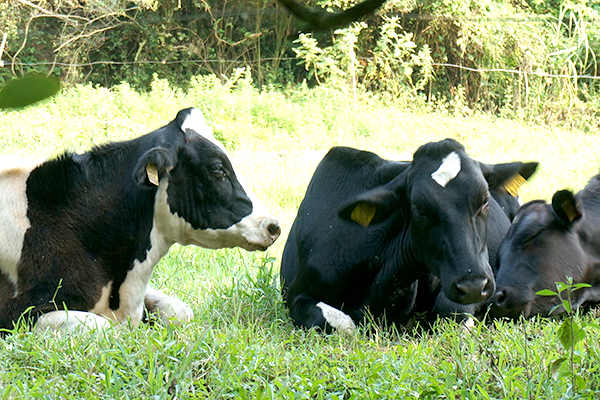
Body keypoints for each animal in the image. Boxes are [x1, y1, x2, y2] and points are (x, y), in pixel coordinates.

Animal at [282, 139, 540, 332]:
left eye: (485, 200)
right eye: (419, 208)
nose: (473, 285)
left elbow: (450, 312)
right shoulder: (296, 293)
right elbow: (344, 324)